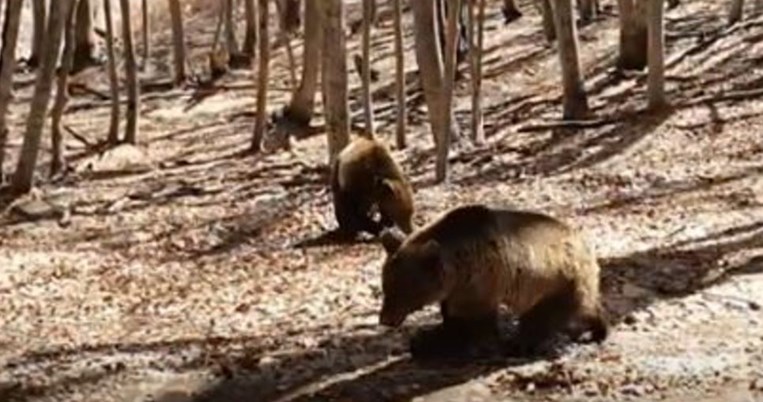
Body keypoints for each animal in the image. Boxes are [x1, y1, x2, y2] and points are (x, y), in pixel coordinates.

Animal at [380, 204, 608, 358]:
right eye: (386, 286)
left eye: (402, 290)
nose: (385, 319)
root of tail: (585, 244)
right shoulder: (456, 290)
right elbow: (451, 316)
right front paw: (428, 337)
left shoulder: (480, 283)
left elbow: (474, 323)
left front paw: (450, 344)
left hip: (557, 281)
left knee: (543, 317)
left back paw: (523, 343)